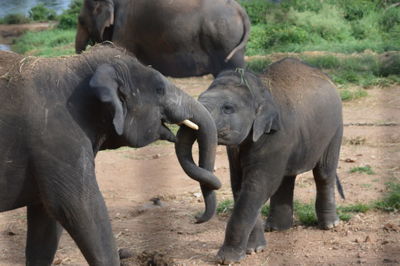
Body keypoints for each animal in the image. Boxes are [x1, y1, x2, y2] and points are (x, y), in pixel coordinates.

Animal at [177, 58, 346, 264]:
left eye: (228, 108)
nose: (197, 219)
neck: (259, 89)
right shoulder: (237, 149)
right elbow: (239, 186)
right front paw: (254, 249)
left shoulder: (276, 136)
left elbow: (256, 187)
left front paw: (227, 259)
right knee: (286, 179)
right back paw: (277, 228)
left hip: (335, 129)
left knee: (324, 172)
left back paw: (330, 225)